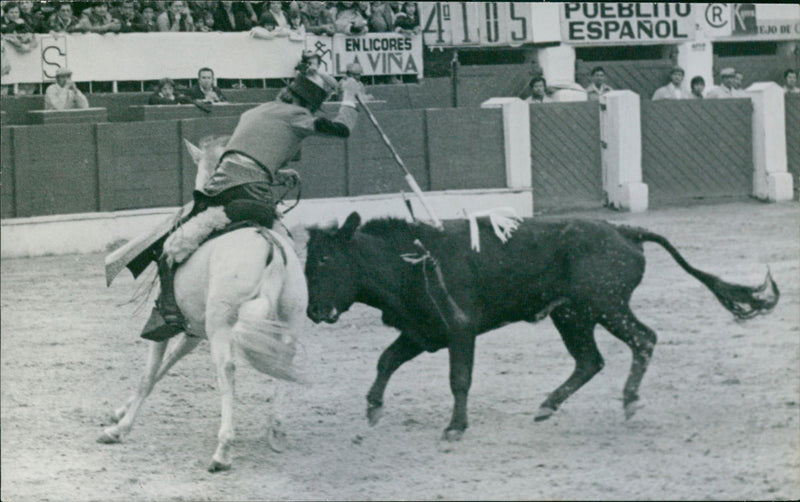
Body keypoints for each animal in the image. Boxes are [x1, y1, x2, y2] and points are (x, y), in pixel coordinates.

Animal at [101, 136, 308, 470]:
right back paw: (275, 430)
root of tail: (271, 249)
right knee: (282, 364)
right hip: (290, 320)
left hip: (221, 326)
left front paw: (119, 428)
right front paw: (119, 412)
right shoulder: (194, 332)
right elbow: (168, 365)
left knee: (227, 369)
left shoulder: (167, 329)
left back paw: (223, 451)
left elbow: (149, 374)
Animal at [304, 212, 780, 440]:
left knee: (643, 339)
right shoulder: (422, 332)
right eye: (306, 265)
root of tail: (625, 230)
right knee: (590, 360)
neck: (404, 262)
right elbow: (386, 360)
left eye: (325, 261)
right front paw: (373, 407)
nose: (313, 313)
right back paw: (548, 405)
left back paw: (629, 400)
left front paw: (456, 427)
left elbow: (459, 378)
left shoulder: (460, 330)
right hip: (571, 315)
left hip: (605, 305)